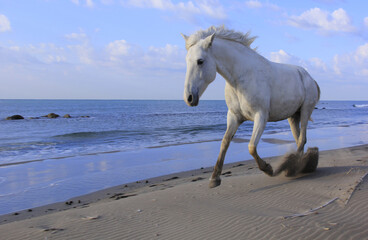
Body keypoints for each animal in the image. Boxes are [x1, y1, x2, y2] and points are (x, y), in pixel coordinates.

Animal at [181, 26, 320, 188]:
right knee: (299, 140)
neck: (241, 78)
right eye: (186, 61)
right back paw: (297, 166)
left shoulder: (261, 116)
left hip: (305, 111)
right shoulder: (234, 116)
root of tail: (310, 78)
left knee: (302, 139)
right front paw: (214, 179)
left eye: (200, 61)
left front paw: (268, 169)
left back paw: (293, 166)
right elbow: (225, 142)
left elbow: (251, 147)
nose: (189, 98)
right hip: (293, 116)